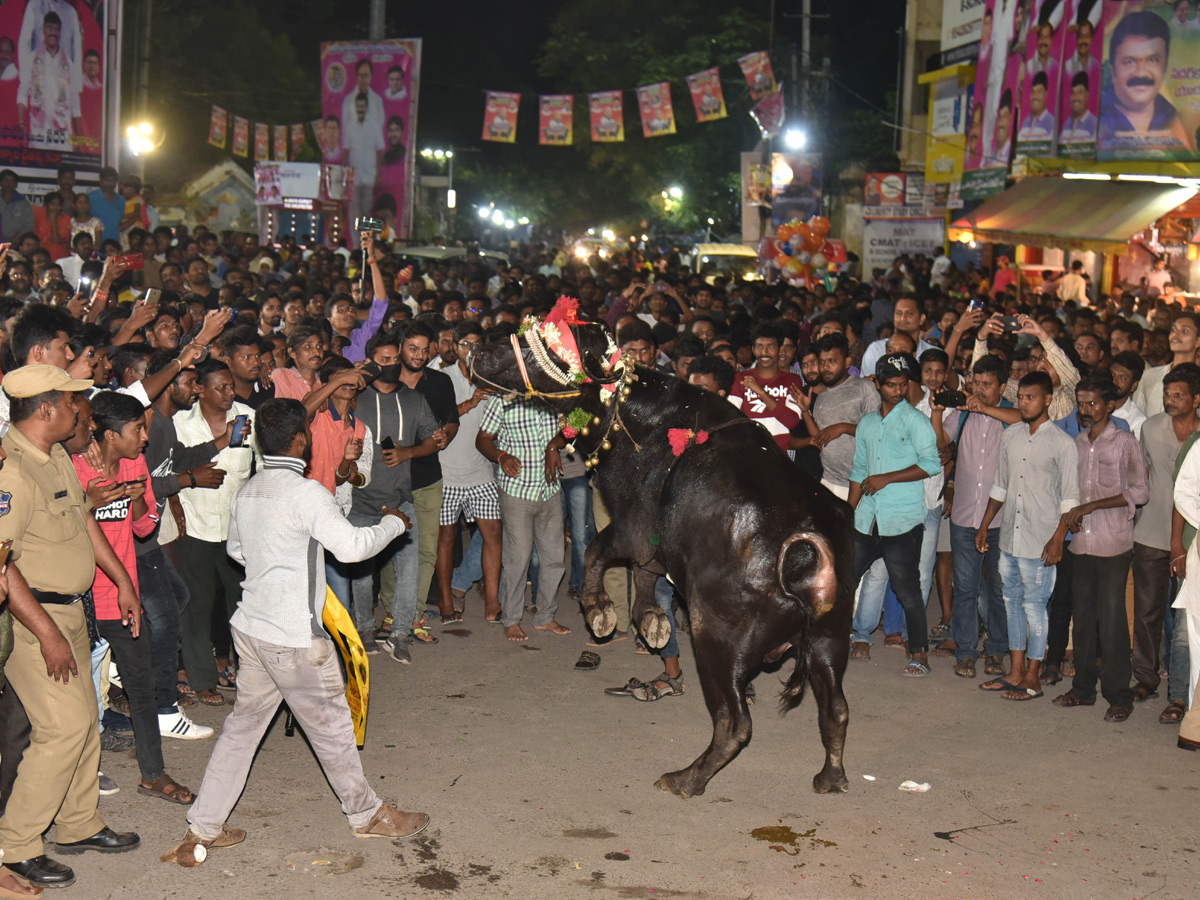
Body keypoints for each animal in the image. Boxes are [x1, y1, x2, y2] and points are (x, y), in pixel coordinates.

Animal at [468, 316, 854, 796]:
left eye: (544, 347)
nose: (476, 351)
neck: (637, 419)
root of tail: (805, 549)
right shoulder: (653, 547)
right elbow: (645, 579)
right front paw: (652, 620)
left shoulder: (630, 529)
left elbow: (595, 552)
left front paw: (600, 611)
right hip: (829, 639)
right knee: (835, 708)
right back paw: (830, 777)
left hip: (718, 641)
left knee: (735, 722)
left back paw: (685, 779)